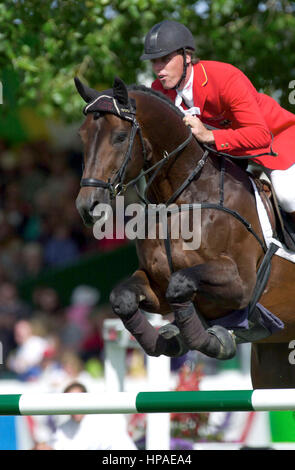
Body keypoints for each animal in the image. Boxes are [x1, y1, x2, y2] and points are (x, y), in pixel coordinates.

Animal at [75, 76, 295, 390]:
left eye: (119, 136)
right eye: (82, 136)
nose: (87, 206)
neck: (184, 197)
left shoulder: (242, 284)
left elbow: (181, 283)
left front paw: (217, 341)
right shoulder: (156, 285)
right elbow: (124, 298)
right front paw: (171, 340)